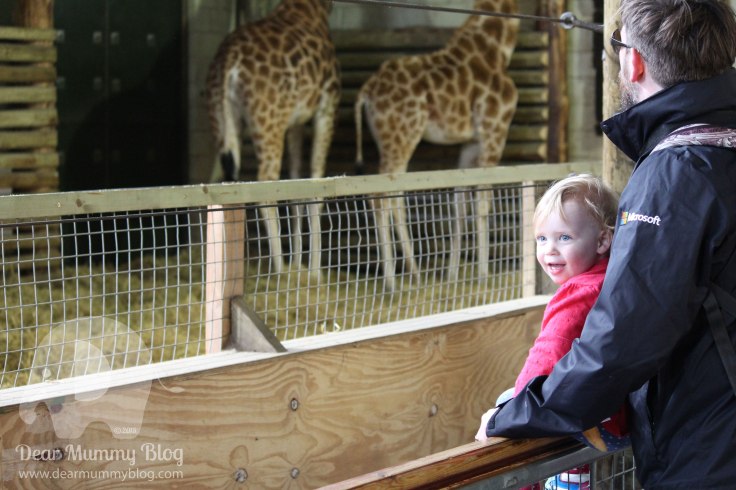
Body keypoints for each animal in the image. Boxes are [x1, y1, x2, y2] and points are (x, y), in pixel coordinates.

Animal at [206, 0, 340, 279]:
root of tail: (228, 62)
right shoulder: (326, 107)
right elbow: (317, 183)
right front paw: (314, 271)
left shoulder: (295, 122)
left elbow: (297, 183)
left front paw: (300, 262)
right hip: (268, 124)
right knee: (264, 188)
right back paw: (279, 270)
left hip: (222, 122)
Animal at [354, 0, 519, 291]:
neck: (496, 49)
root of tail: (367, 91)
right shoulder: (494, 130)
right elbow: (483, 203)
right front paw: (484, 276)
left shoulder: (470, 143)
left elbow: (460, 204)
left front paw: (453, 275)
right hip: (401, 136)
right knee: (379, 196)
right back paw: (391, 281)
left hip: (396, 140)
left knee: (395, 197)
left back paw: (415, 273)